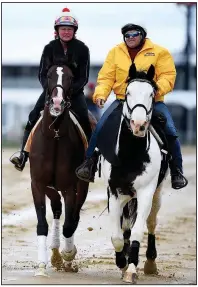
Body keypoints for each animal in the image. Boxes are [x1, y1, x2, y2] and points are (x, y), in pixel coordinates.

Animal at [28, 65, 89, 276]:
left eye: (70, 77)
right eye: (48, 75)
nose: (56, 102)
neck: (54, 136)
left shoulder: (71, 187)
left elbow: (69, 224)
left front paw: (69, 255)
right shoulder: (38, 184)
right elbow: (42, 224)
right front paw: (41, 266)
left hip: (81, 187)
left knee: (74, 216)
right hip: (51, 188)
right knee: (56, 208)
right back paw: (54, 254)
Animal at [102, 64, 169, 284]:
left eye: (152, 93)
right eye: (128, 92)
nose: (138, 125)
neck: (131, 155)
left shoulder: (146, 193)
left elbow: (139, 230)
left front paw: (131, 268)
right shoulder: (114, 193)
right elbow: (117, 235)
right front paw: (122, 262)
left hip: (156, 194)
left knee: (151, 223)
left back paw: (150, 263)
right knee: (125, 227)